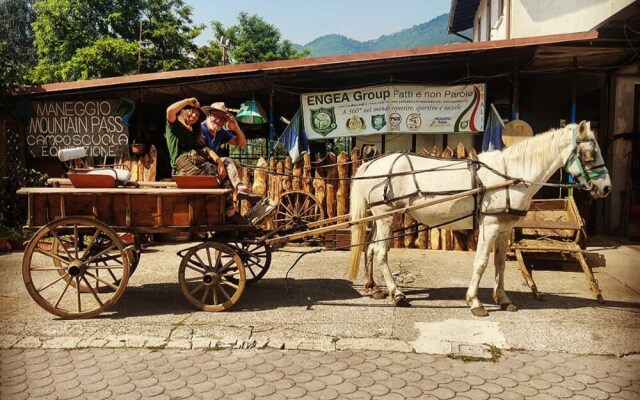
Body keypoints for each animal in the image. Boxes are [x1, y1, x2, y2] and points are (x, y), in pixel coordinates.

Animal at [348, 121, 612, 316]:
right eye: (591, 153)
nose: (606, 188)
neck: (510, 175)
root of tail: (372, 163)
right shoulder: (490, 225)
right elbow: (482, 262)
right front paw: (475, 302)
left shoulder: (504, 229)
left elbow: (500, 263)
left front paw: (503, 299)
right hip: (385, 216)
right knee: (380, 252)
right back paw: (397, 294)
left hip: (380, 217)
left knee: (369, 248)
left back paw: (374, 288)